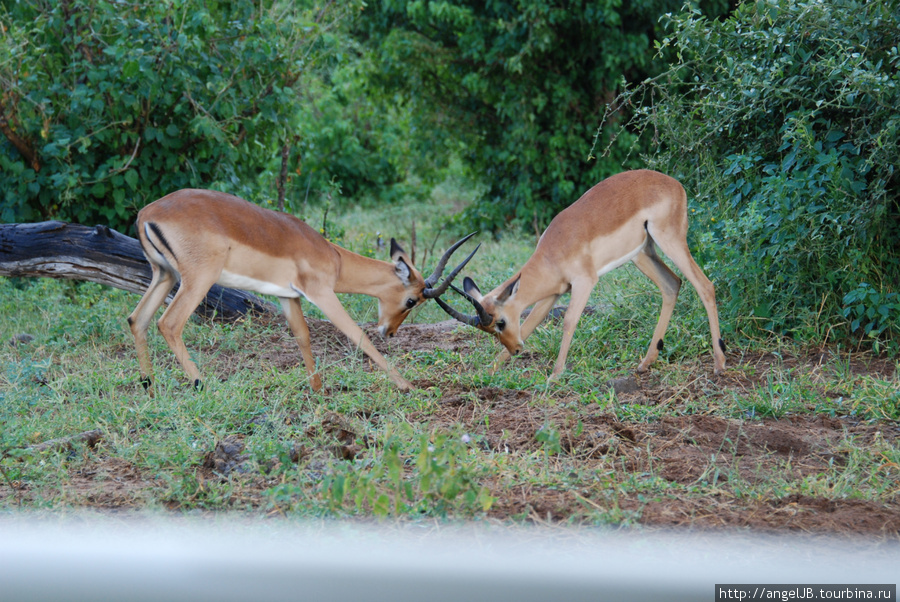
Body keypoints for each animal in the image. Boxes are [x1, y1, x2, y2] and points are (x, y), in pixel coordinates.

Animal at [128, 190, 478, 392]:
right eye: (411, 299)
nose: (389, 331)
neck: (334, 258)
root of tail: (147, 214)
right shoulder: (321, 293)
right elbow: (356, 334)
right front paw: (407, 386)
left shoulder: (288, 295)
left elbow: (302, 336)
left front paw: (317, 388)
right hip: (197, 280)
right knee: (168, 323)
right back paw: (202, 383)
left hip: (164, 275)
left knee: (137, 319)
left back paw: (149, 384)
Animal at [440, 169, 728, 378]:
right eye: (489, 330)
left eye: (500, 322)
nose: (517, 349)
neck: (553, 252)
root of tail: (675, 184)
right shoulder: (554, 293)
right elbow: (531, 322)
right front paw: (484, 373)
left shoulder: (585, 282)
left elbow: (569, 321)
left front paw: (554, 376)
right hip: (642, 254)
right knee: (672, 284)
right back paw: (645, 363)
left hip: (670, 241)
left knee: (705, 285)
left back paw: (719, 363)